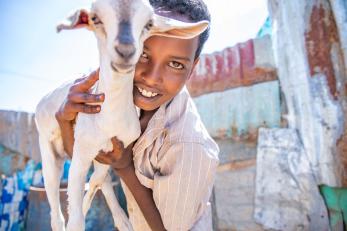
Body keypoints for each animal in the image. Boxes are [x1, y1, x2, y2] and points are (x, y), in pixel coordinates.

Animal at [35, 0, 208, 231]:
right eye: (95, 18)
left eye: (149, 23)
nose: (125, 51)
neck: (110, 121)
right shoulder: (81, 151)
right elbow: (78, 212)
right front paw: (77, 212)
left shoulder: (113, 150)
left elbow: (99, 179)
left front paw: (85, 203)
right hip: (47, 148)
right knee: (54, 209)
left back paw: (122, 220)